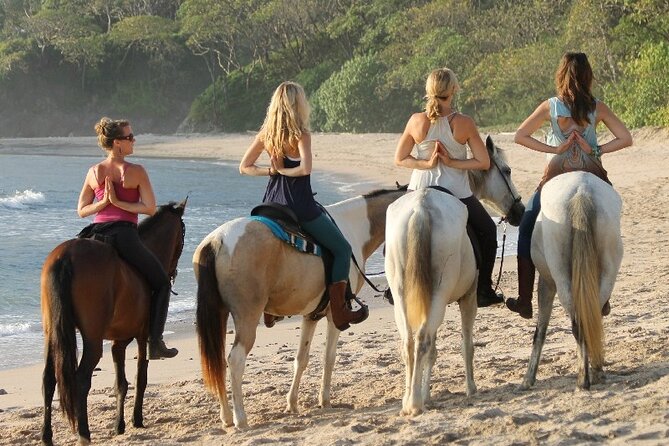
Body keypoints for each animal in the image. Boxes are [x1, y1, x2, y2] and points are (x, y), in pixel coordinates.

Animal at [40, 199, 187, 446]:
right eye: (183, 235)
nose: (173, 271)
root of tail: (65, 257)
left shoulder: (118, 342)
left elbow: (121, 384)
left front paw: (119, 425)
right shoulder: (142, 336)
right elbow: (141, 377)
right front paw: (137, 419)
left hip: (53, 333)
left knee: (49, 379)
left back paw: (46, 436)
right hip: (92, 339)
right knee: (81, 380)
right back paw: (84, 434)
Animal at [190, 186, 404, 428]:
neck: (353, 228)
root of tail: (217, 241)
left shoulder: (311, 315)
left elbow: (301, 360)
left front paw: (292, 404)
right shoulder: (335, 315)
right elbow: (329, 358)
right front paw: (325, 401)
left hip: (219, 314)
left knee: (218, 362)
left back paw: (226, 416)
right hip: (247, 317)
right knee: (235, 361)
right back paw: (240, 418)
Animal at [386, 138, 520, 416]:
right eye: (508, 170)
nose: (520, 211)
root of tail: (421, 208)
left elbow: (434, 351)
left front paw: (427, 393)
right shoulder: (468, 299)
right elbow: (466, 346)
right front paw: (471, 388)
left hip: (404, 296)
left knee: (410, 343)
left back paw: (409, 400)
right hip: (439, 294)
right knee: (422, 340)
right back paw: (414, 404)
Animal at [520, 172, 624, 390]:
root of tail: (581, 191)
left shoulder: (546, 282)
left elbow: (540, 329)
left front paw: (528, 378)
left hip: (560, 278)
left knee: (577, 323)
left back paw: (583, 378)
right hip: (607, 272)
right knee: (591, 317)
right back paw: (596, 372)